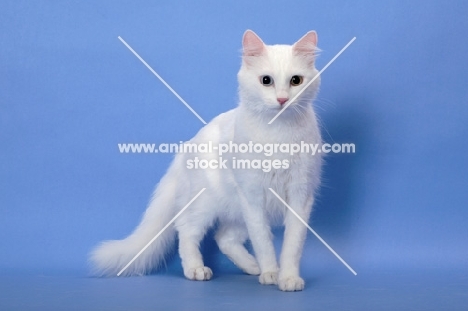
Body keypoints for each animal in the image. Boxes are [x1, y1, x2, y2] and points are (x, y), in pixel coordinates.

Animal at [93, 29, 324, 292]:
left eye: (296, 81)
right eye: (266, 80)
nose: (283, 99)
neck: (278, 134)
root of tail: (186, 147)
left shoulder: (300, 196)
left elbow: (292, 245)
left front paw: (287, 277)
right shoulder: (253, 197)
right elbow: (263, 242)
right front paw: (270, 273)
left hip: (236, 211)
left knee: (224, 238)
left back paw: (251, 266)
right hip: (205, 205)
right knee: (186, 231)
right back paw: (197, 269)